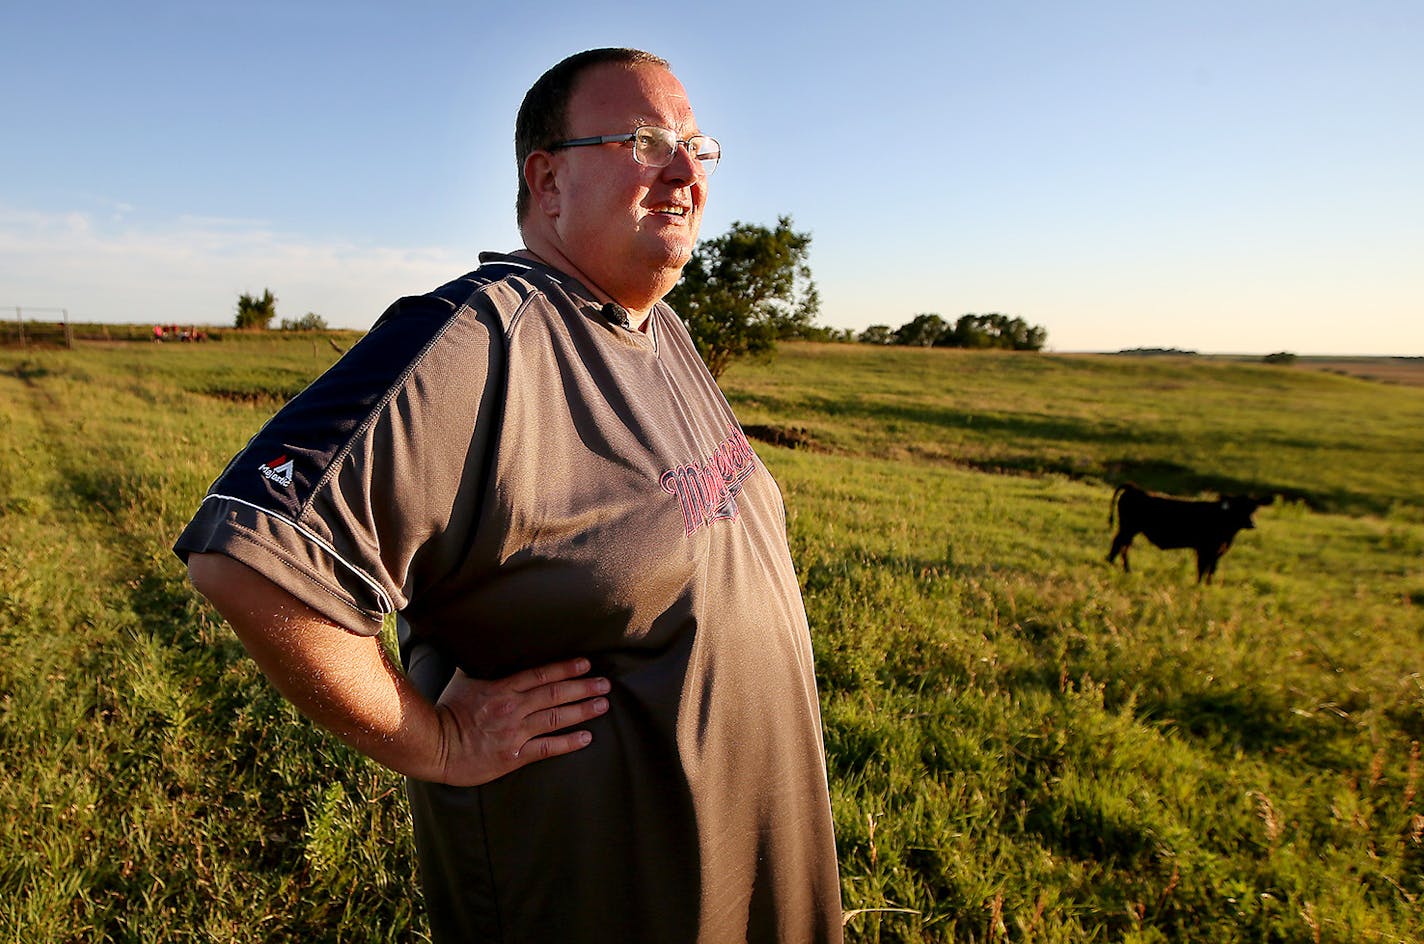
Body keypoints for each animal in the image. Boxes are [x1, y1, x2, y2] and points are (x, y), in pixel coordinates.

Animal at [1105, 486, 1275, 583]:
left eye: (1254, 508)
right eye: (1238, 508)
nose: (1252, 523)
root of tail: (1134, 489)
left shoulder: (1217, 551)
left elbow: (1211, 569)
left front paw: (1208, 586)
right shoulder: (1204, 549)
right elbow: (1202, 568)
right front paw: (1198, 585)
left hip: (1129, 529)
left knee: (1122, 545)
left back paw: (1120, 567)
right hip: (1129, 528)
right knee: (1120, 544)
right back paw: (1119, 567)